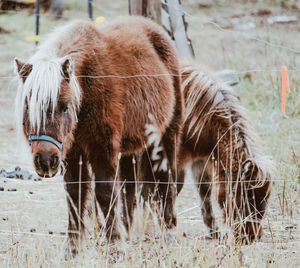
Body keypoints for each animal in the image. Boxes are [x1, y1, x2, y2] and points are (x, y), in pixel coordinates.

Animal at [15, 16, 184, 255]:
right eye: (27, 107)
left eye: (65, 106)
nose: (46, 161)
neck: (86, 87)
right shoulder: (72, 152)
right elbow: (75, 195)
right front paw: (72, 248)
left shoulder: (103, 149)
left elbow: (105, 194)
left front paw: (115, 246)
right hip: (129, 149)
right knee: (129, 188)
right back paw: (127, 231)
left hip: (167, 135)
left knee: (166, 181)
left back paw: (169, 232)